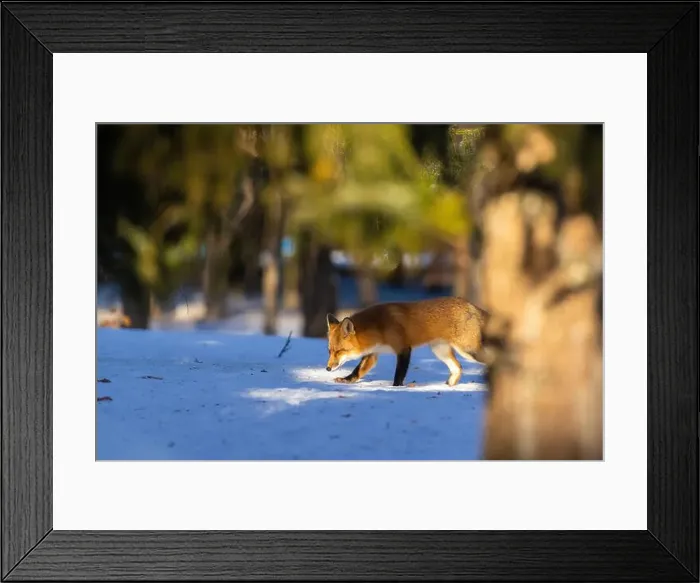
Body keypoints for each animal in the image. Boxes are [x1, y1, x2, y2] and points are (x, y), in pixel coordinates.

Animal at [325, 296, 489, 387]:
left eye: (339, 351)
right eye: (330, 351)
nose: (327, 368)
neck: (378, 327)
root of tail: (471, 305)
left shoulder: (403, 348)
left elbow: (399, 374)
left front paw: (395, 388)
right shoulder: (373, 353)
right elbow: (357, 371)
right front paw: (346, 380)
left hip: (468, 351)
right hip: (439, 351)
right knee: (458, 368)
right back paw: (448, 386)